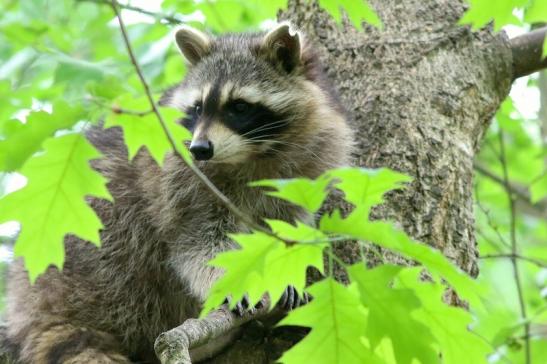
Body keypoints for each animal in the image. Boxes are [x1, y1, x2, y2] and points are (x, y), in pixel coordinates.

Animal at [5, 24, 352, 362]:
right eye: (197, 107)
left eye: (239, 107)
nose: (199, 148)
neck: (253, 155)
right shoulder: (180, 180)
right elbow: (197, 242)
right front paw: (230, 279)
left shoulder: (309, 167)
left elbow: (287, 228)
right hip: (97, 264)